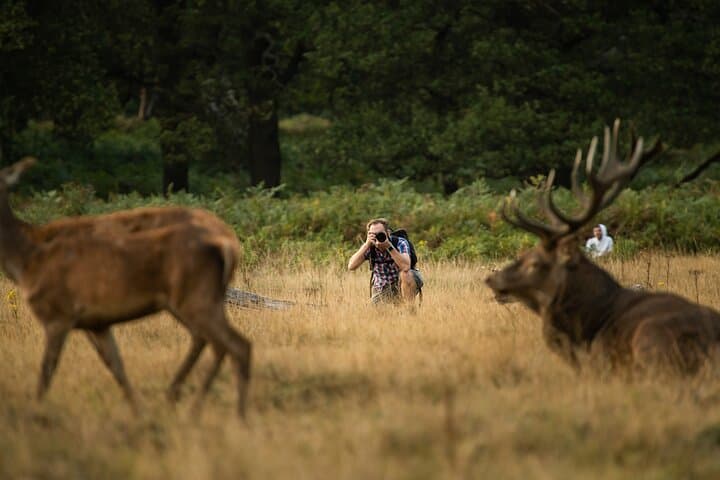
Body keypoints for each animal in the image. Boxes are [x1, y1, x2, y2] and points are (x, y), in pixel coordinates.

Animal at [0, 157, 251, 416]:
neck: (26, 259)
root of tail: (229, 240)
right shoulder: (92, 320)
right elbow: (112, 362)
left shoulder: (61, 315)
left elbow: (49, 367)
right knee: (207, 338)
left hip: (190, 299)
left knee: (217, 340)